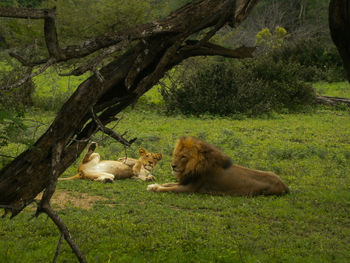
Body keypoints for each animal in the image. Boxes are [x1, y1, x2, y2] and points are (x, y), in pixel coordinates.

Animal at [146, 137, 288, 197]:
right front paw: (153, 185)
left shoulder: (190, 188)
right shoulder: (185, 181)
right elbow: (167, 184)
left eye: (183, 156)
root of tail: (284, 185)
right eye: (176, 155)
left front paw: (155, 188)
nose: (173, 166)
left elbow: (169, 189)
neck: (191, 167)